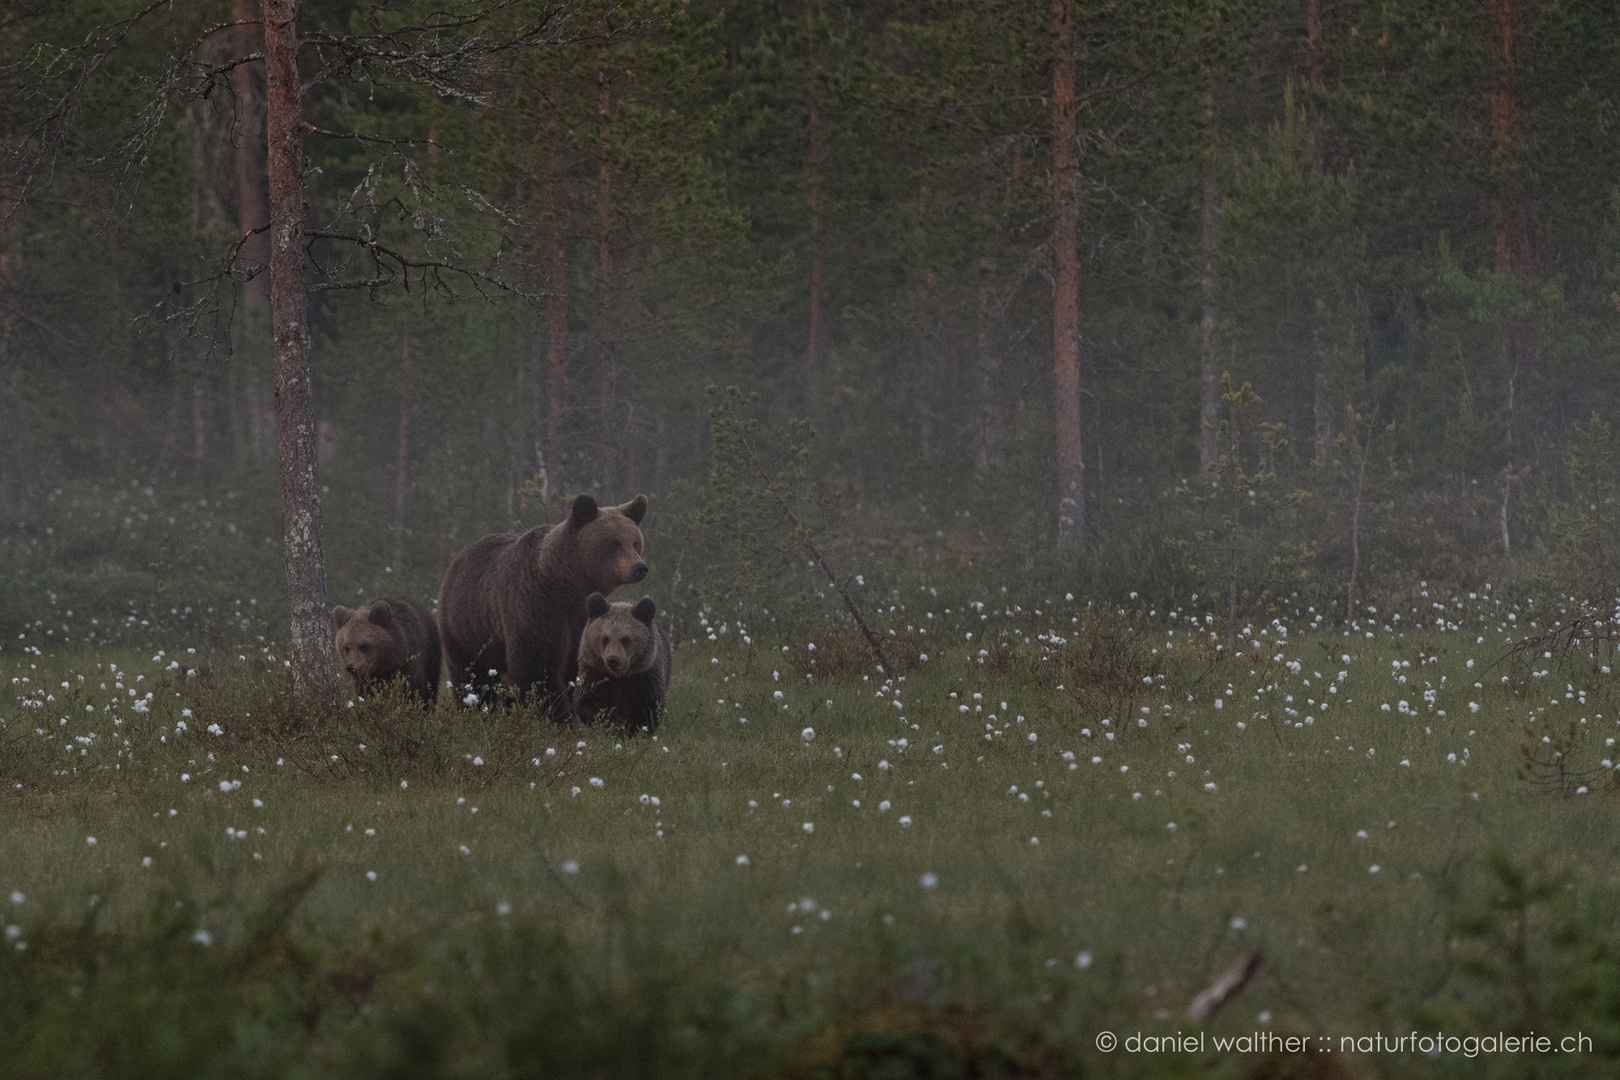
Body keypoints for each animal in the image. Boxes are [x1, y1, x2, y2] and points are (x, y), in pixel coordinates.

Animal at [443, 495, 651, 712]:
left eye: (635, 542)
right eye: (614, 543)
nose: (639, 567)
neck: (569, 587)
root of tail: (459, 559)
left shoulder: (582, 620)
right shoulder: (536, 605)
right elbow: (537, 667)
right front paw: (557, 713)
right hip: (466, 628)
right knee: (471, 675)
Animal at [576, 592, 670, 735]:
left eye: (625, 639)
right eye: (605, 638)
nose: (613, 659)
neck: (620, 676)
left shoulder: (644, 675)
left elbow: (648, 706)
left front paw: (633, 730)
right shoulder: (595, 672)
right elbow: (589, 701)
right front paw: (607, 725)